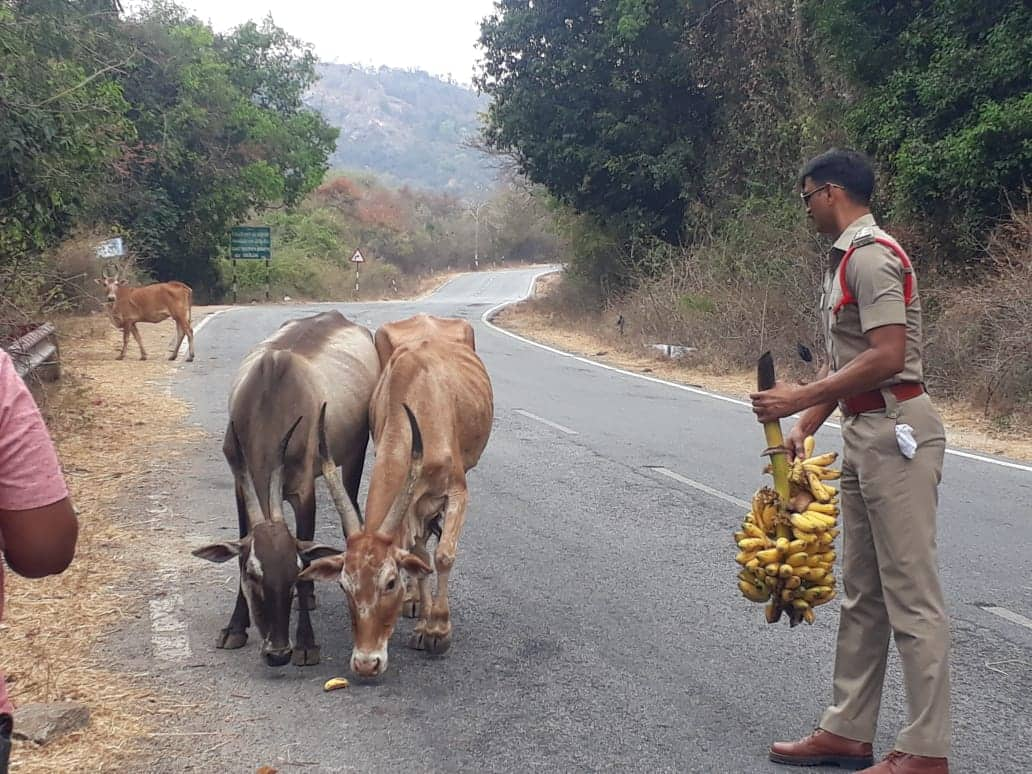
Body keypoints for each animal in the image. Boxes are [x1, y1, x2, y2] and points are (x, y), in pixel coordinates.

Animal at [301, 315, 493, 676]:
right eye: (344, 585)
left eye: (389, 582)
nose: (366, 663)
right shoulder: (412, 503)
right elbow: (420, 554)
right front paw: (422, 622)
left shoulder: (457, 490)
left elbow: (443, 555)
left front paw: (438, 629)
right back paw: (415, 601)